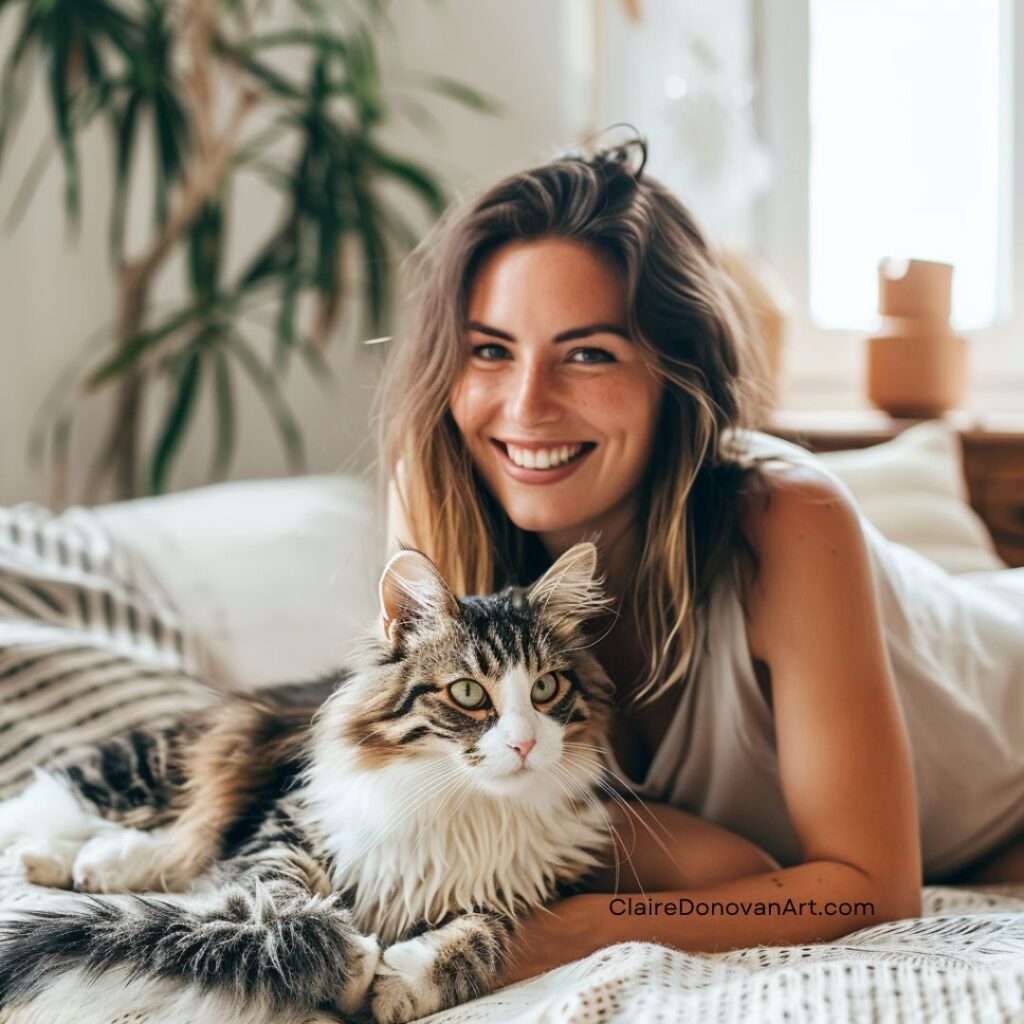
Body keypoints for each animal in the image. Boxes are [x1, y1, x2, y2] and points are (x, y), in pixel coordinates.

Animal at [0, 544, 614, 1024]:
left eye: (546, 688)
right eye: (467, 692)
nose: (525, 744)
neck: (461, 803)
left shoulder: (527, 887)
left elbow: (477, 934)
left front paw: (401, 985)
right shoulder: (288, 823)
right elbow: (276, 895)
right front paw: (342, 958)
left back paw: (94, 862)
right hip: (157, 764)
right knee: (50, 805)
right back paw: (55, 857)